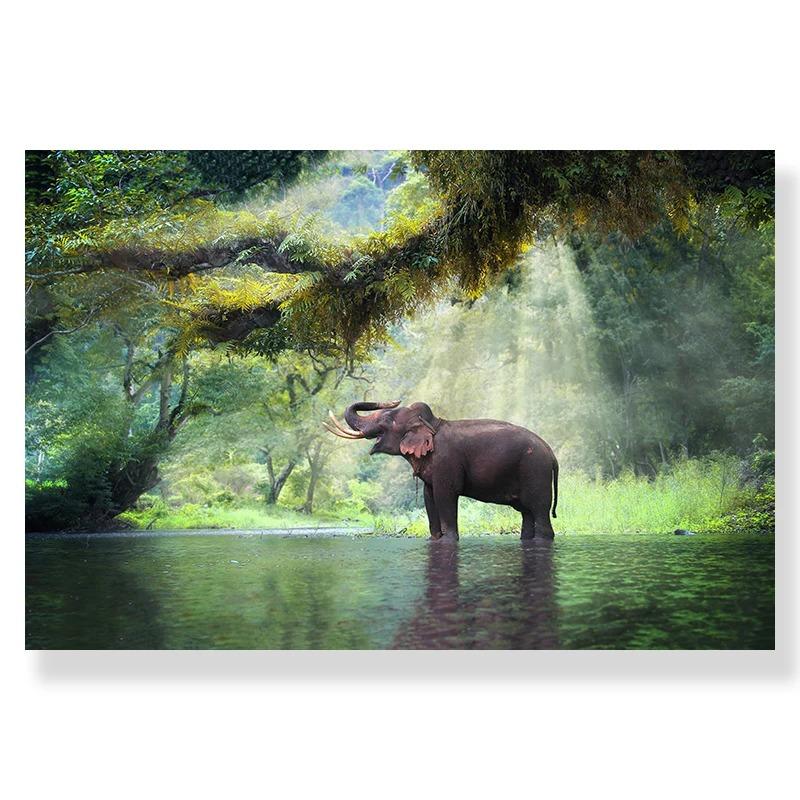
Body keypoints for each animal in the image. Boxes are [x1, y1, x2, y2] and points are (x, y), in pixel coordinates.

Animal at [324, 400, 559, 541]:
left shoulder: (447, 461)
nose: (395, 399)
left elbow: (445, 495)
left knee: (539, 510)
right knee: (527, 513)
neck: (432, 424)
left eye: (386, 420)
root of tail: (551, 454)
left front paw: (449, 540)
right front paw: (433, 539)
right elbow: (429, 496)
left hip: (535, 471)